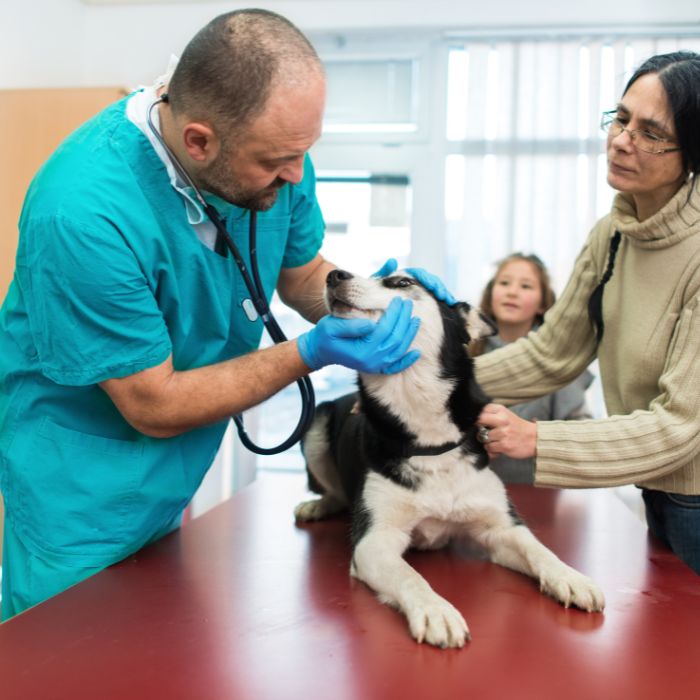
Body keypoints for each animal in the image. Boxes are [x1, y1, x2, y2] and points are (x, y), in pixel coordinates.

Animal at [292, 266, 604, 644]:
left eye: (402, 282)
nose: (334, 275)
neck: (429, 441)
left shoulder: (502, 528)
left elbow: (539, 549)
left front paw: (571, 577)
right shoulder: (374, 540)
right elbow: (410, 576)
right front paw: (435, 610)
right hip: (316, 424)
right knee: (335, 491)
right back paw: (318, 506)